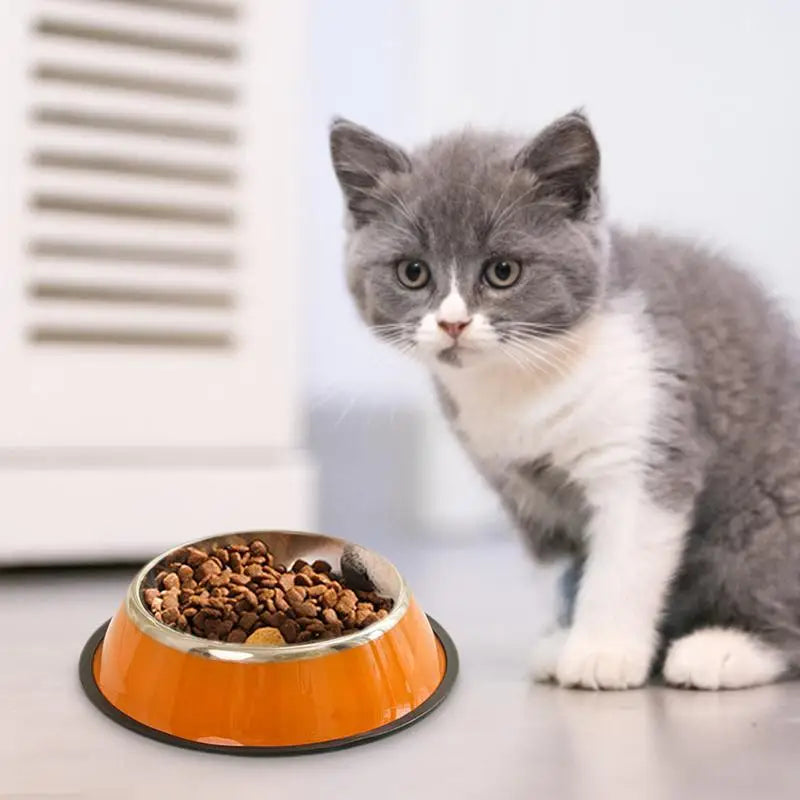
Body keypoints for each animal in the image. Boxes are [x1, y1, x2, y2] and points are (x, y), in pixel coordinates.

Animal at [326, 111, 800, 688]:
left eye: (503, 271)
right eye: (412, 272)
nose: (453, 323)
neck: (522, 382)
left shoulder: (644, 437)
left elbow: (624, 558)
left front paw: (602, 651)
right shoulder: (526, 489)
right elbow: (567, 563)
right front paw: (566, 635)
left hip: (769, 512)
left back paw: (726, 648)